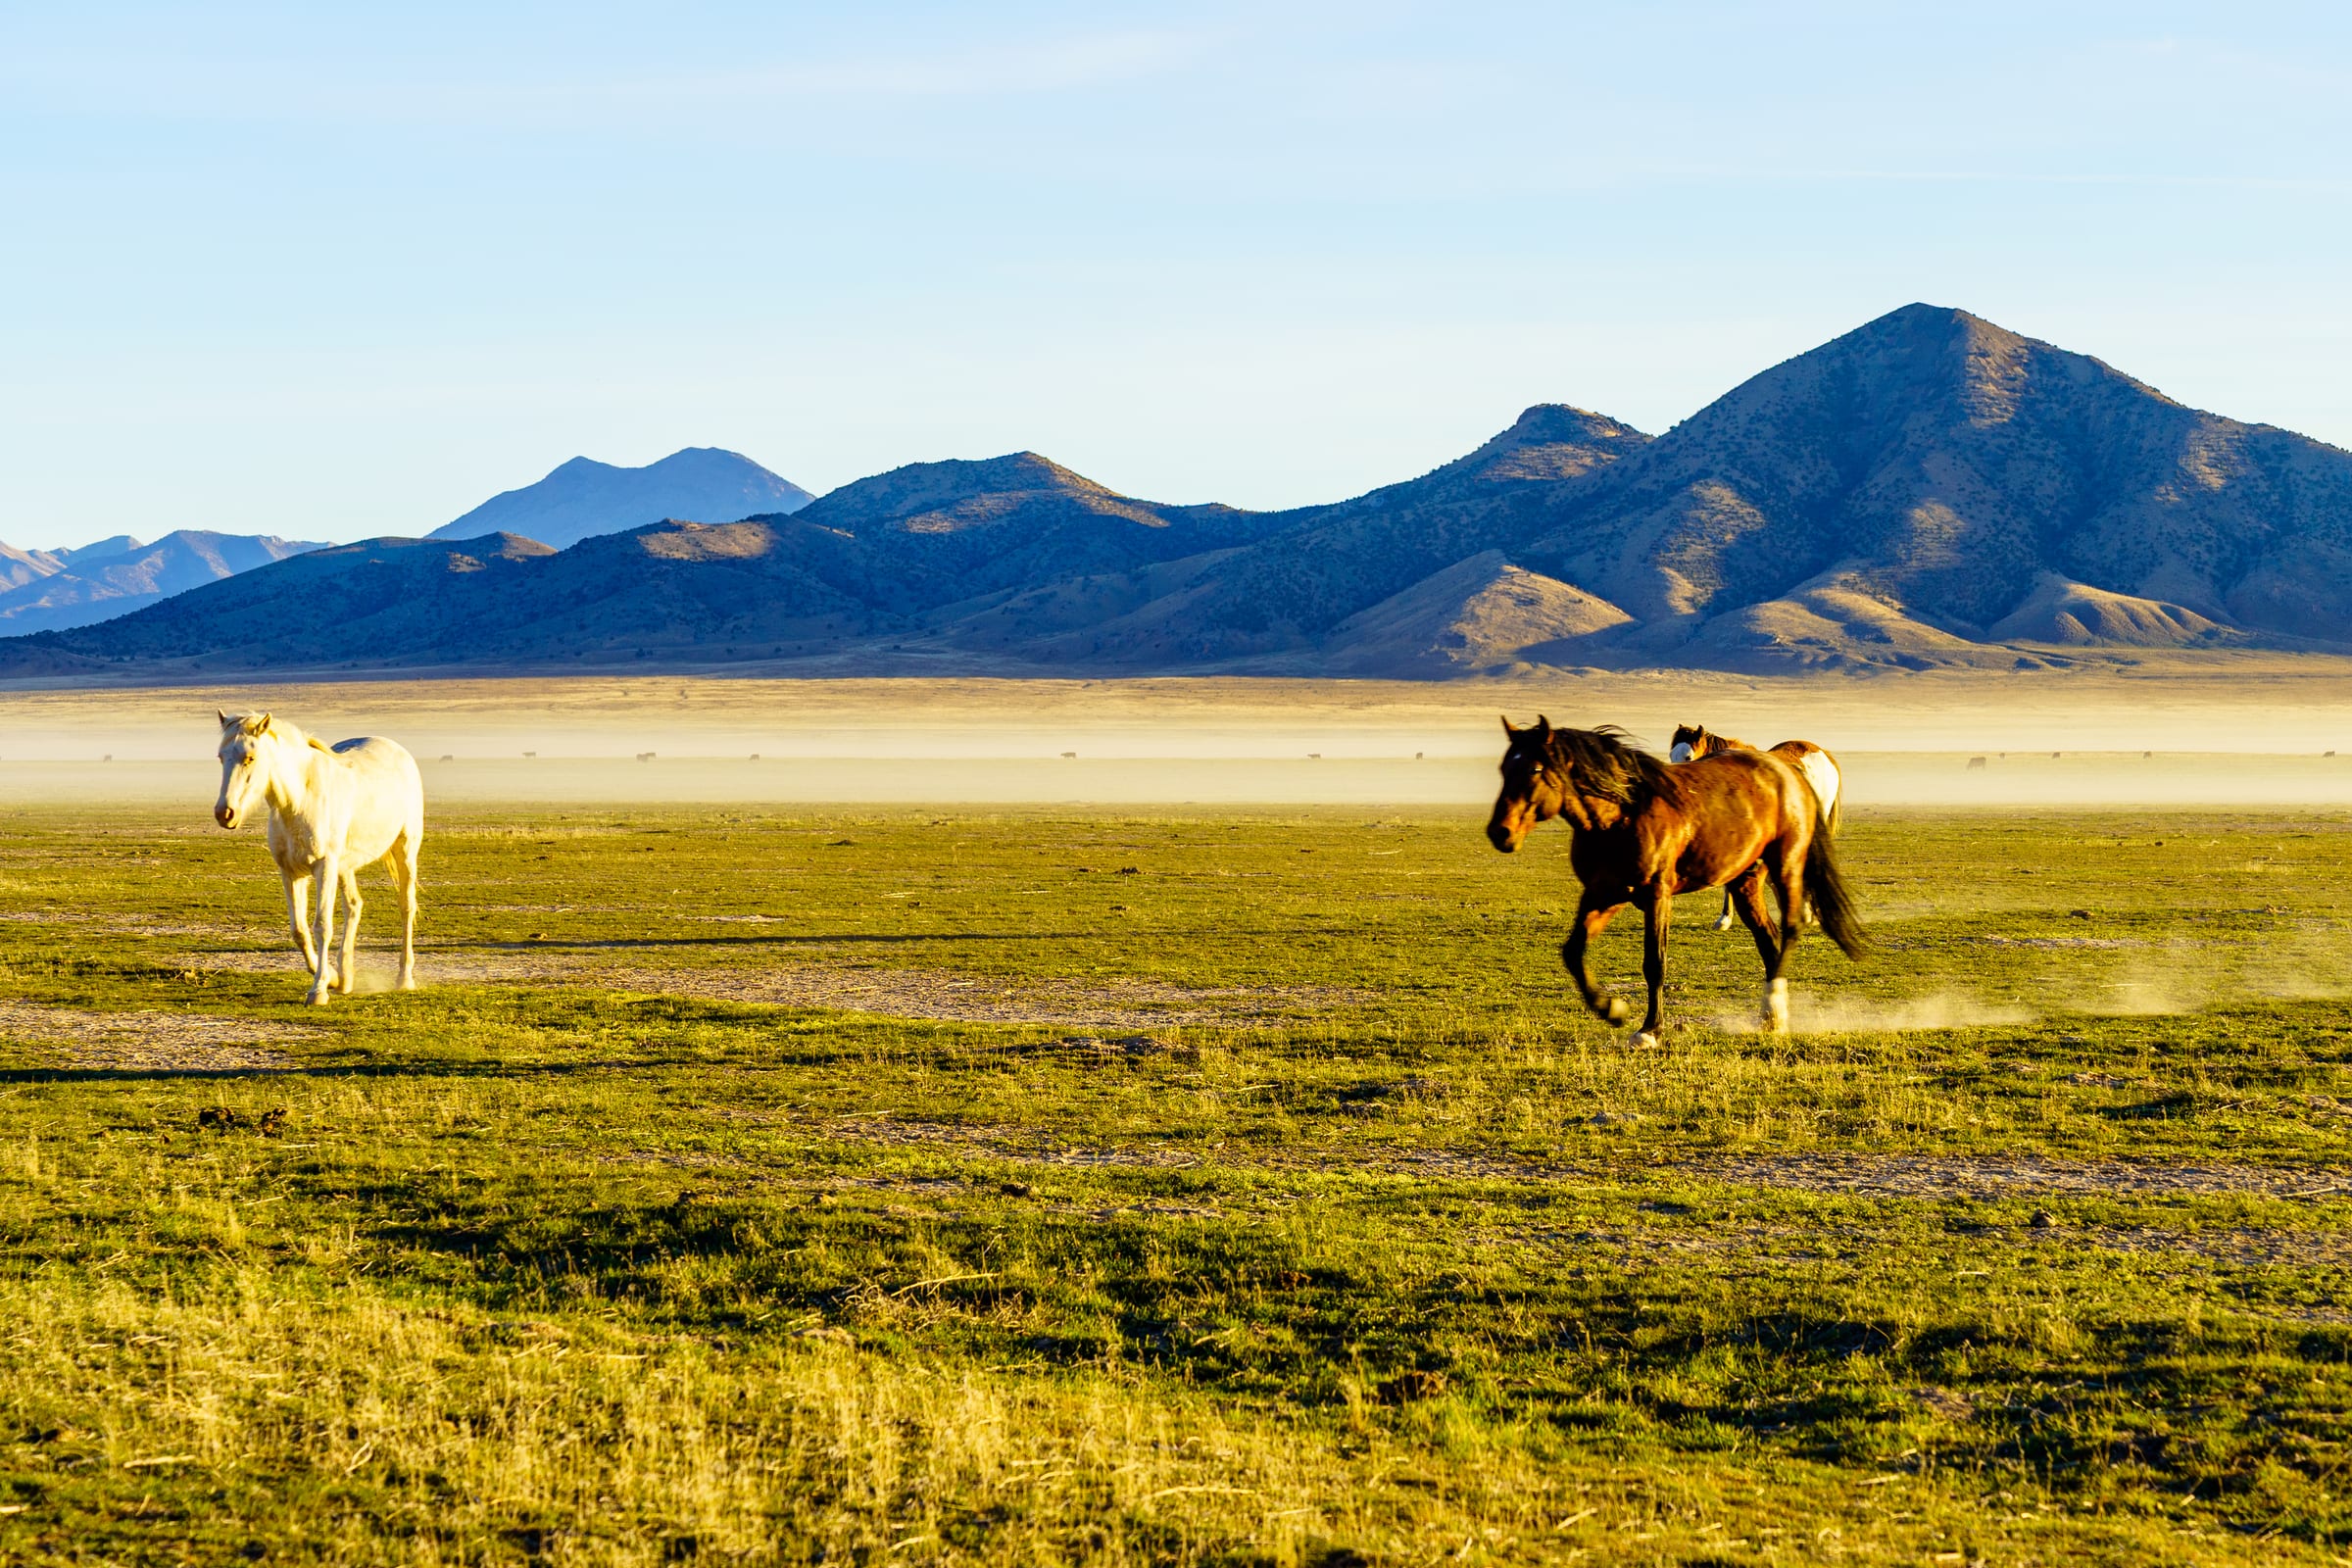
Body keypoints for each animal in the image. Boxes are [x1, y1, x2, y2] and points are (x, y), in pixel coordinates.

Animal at [214, 712, 425, 1004]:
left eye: (250, 758)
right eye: (221, 757)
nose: (225, 813)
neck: (299, 801)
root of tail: (398, 750)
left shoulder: (323, 866)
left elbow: (322, 926)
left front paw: (319, 990)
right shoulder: (291, 872)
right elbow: (299, 930)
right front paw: (332, 977)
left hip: (404, 851)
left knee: (406, 907)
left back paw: (404, 978)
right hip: (345, 866)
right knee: (354, 906)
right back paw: (346, 977)